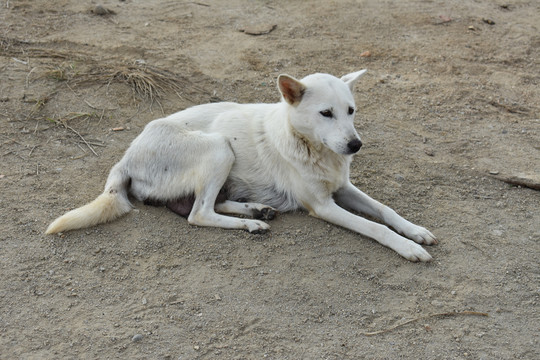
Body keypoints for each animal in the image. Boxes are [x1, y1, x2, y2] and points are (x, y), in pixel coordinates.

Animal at [45, 70, 434, 262]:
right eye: (326, 113)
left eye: (351, 111)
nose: (355, 145)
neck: (309, 144)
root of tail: (126, 157)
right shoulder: (323, 205)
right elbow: (375, 227)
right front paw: (409, 248)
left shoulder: (343, 188)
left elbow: (384, 211)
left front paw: (415, 231)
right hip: (219, 148)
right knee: (198, 213)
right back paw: (252, 223)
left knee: (198, 204)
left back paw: (257, 210)